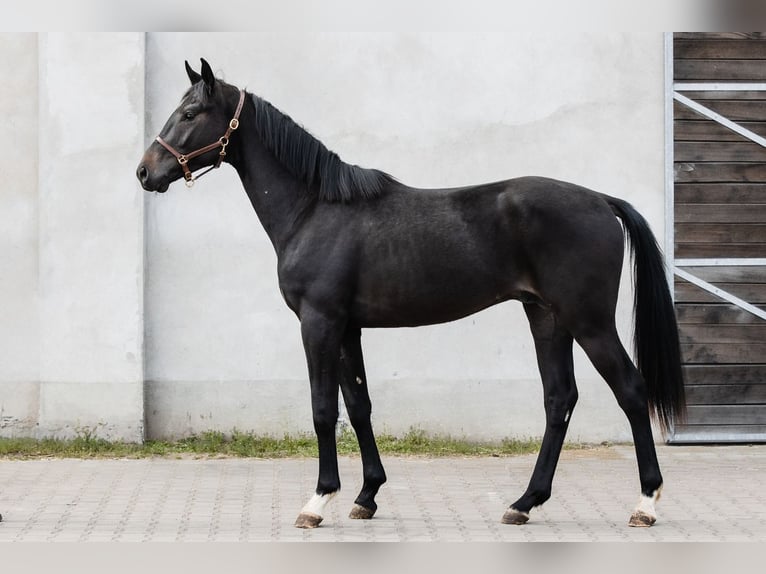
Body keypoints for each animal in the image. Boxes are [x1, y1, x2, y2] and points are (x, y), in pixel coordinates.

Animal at [135, 58, 688, 532]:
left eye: (190, 113)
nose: (145, 171)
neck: (314, 209)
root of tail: (601, 201)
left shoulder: (319, 322)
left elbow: (322, 409)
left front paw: (318, 501)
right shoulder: (348, 328)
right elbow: (359, 405)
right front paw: (366, 496)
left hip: (589, 321)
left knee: (630, 391)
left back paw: (646, 503)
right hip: (547, 318)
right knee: (559, 400)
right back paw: (524, 503)